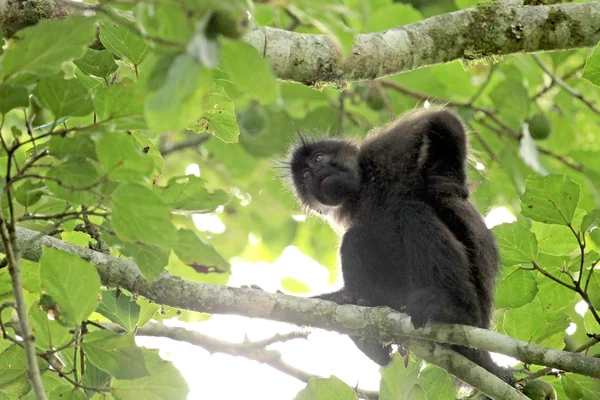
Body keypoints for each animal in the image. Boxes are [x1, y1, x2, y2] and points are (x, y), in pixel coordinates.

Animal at [288, 108, 512, 386]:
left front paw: (449, 185)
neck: (363, 191)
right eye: (305, 176)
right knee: (356, 237)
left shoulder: (381, 153)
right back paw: (360, 314)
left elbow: (444, 120)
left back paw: (456, 311)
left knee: (410, 211)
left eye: (319, 157)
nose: (317, 171)